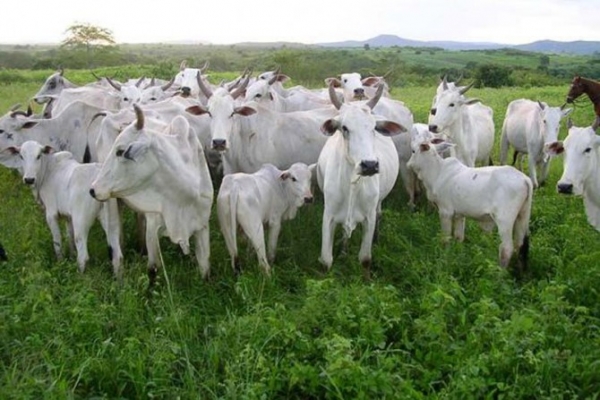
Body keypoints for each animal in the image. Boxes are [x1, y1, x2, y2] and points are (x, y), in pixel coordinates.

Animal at [88, 104, 212, 282]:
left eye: (120, 151)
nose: (92, 190)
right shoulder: (153, 230)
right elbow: (153, 269)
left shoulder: (202, 225)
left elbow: (205, 270)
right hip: (109, 200)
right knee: (114, 242)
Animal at [316, 85, 406, 276]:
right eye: (344, 128)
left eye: (373, 128)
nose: (369, 165)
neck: (352, 183)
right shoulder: (328, 216)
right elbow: (326, 260)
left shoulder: (368, 218)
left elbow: (365, 259)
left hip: (378, 203)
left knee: (379, 214)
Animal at [408, 140, 536, 268]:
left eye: (413, 151)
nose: (408, 164)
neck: (437, 172)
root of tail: (525, 179)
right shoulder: (459, 214)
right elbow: (459, 236)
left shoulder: (445, 212)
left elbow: (445, 238)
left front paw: (445, 257)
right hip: (522, 216)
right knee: (520, 245)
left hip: (504, 221)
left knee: (507, 249)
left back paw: (500, 271)